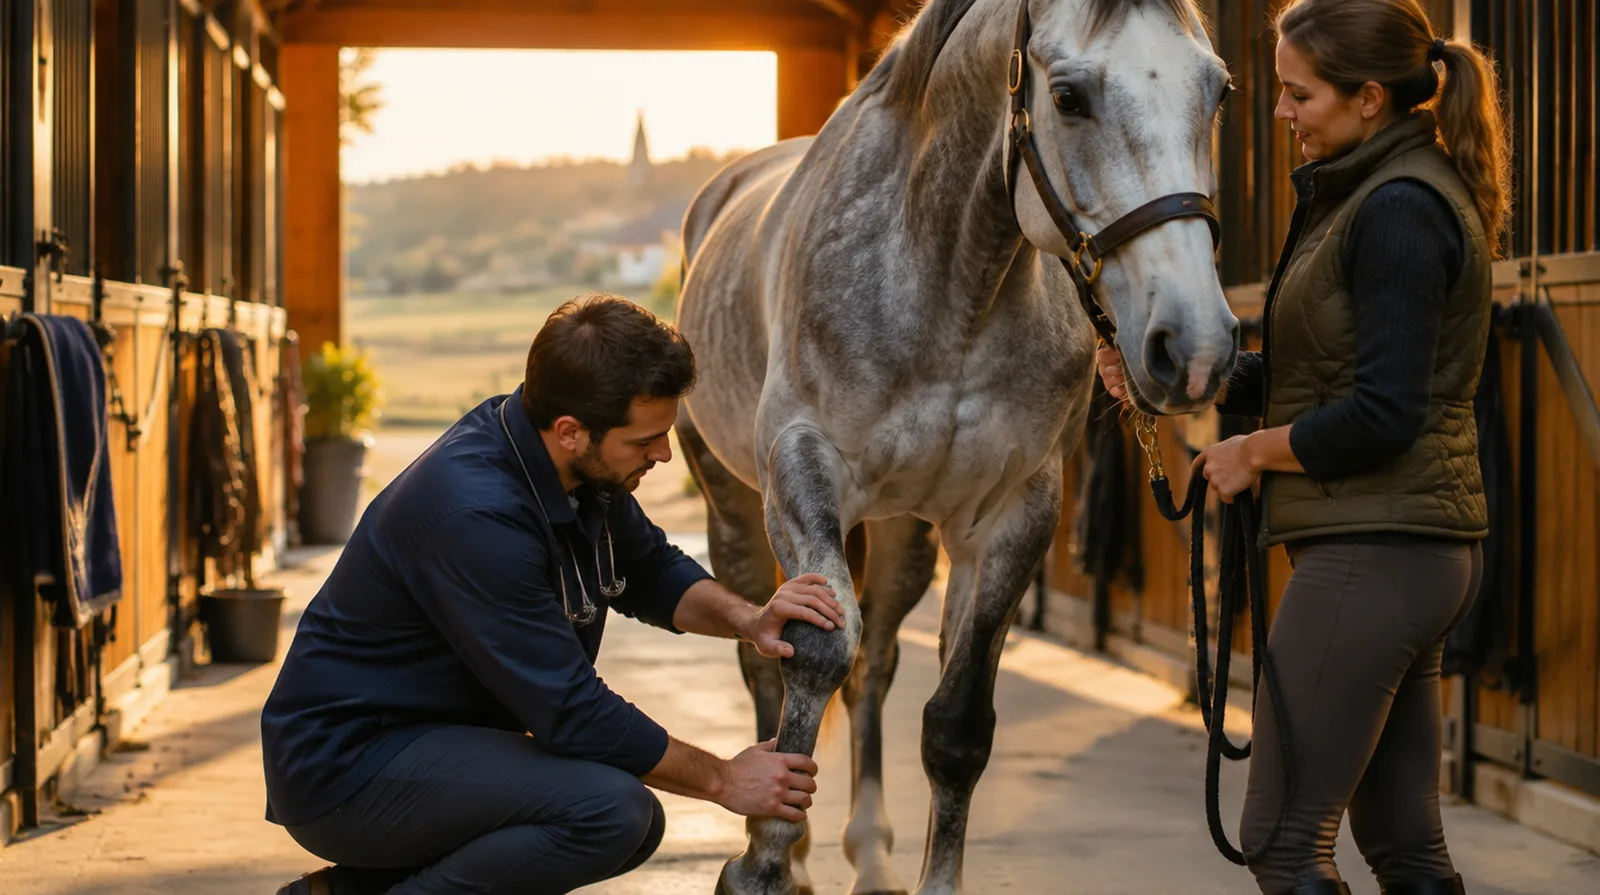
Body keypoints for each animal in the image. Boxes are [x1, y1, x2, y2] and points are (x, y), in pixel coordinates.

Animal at [673, 1, 1237, 892]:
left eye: (1217, 91)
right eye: (1068, 97)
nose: (1197, 349)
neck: (947, 282)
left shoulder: (1013, 514)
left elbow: (957, 723)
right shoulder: (802, 470)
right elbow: (814, 649)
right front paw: (758, 864)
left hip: (904, 533)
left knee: (877, 665)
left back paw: (869, 852)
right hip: (731, 506)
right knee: (766, 656)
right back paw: (788, 847)